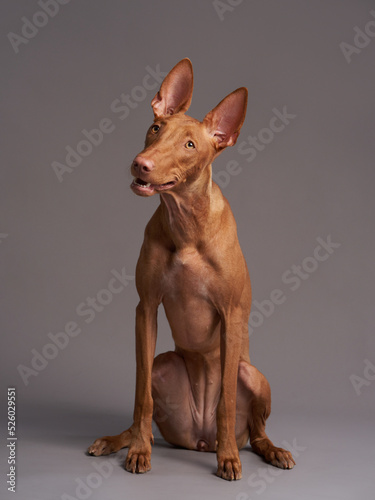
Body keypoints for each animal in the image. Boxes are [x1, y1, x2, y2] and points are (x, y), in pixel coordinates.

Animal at [89, 57, 296, 480]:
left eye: (189, 145)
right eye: (155, 128)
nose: (142, 164)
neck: (186, 225)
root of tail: (198, 438)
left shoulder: (231, 316)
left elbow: (226, 402)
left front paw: (229, 458)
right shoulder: (146, 308)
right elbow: (140, 397)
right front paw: (139, 450)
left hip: (254, 375)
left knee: (255, 429)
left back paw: (268, 450)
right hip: (162, 364)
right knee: (145, 406)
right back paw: (120, 440)